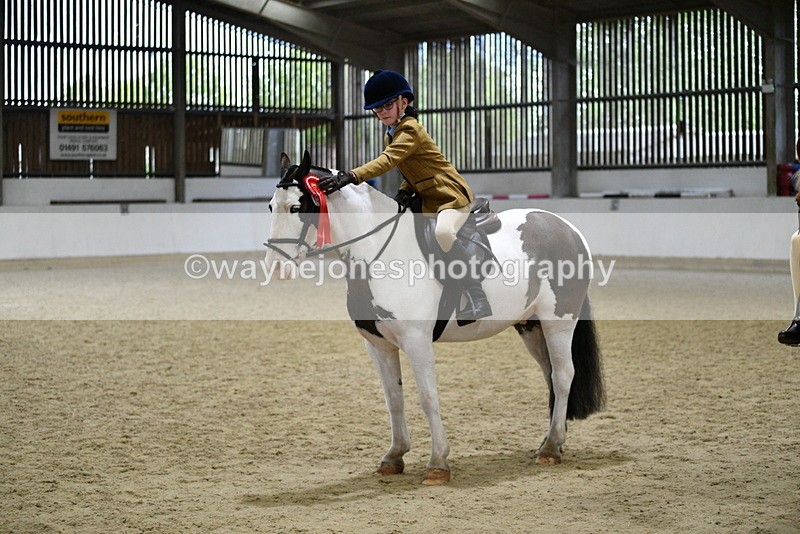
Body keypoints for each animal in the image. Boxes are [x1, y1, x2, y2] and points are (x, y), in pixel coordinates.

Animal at [264, 151, 605, 485]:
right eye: (270, 207)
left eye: (296, 207)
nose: (276, 268)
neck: (379, 254)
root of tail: (568, 228)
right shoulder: (378, 345)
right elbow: (394, 399)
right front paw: (394, 456)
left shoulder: (417, 341)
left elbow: (428, 398)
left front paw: (438, 463)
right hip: (531, 326)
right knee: (550, 376)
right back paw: (551, 440)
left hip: (558, 321)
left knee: (563, 376)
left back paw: (551, 448)